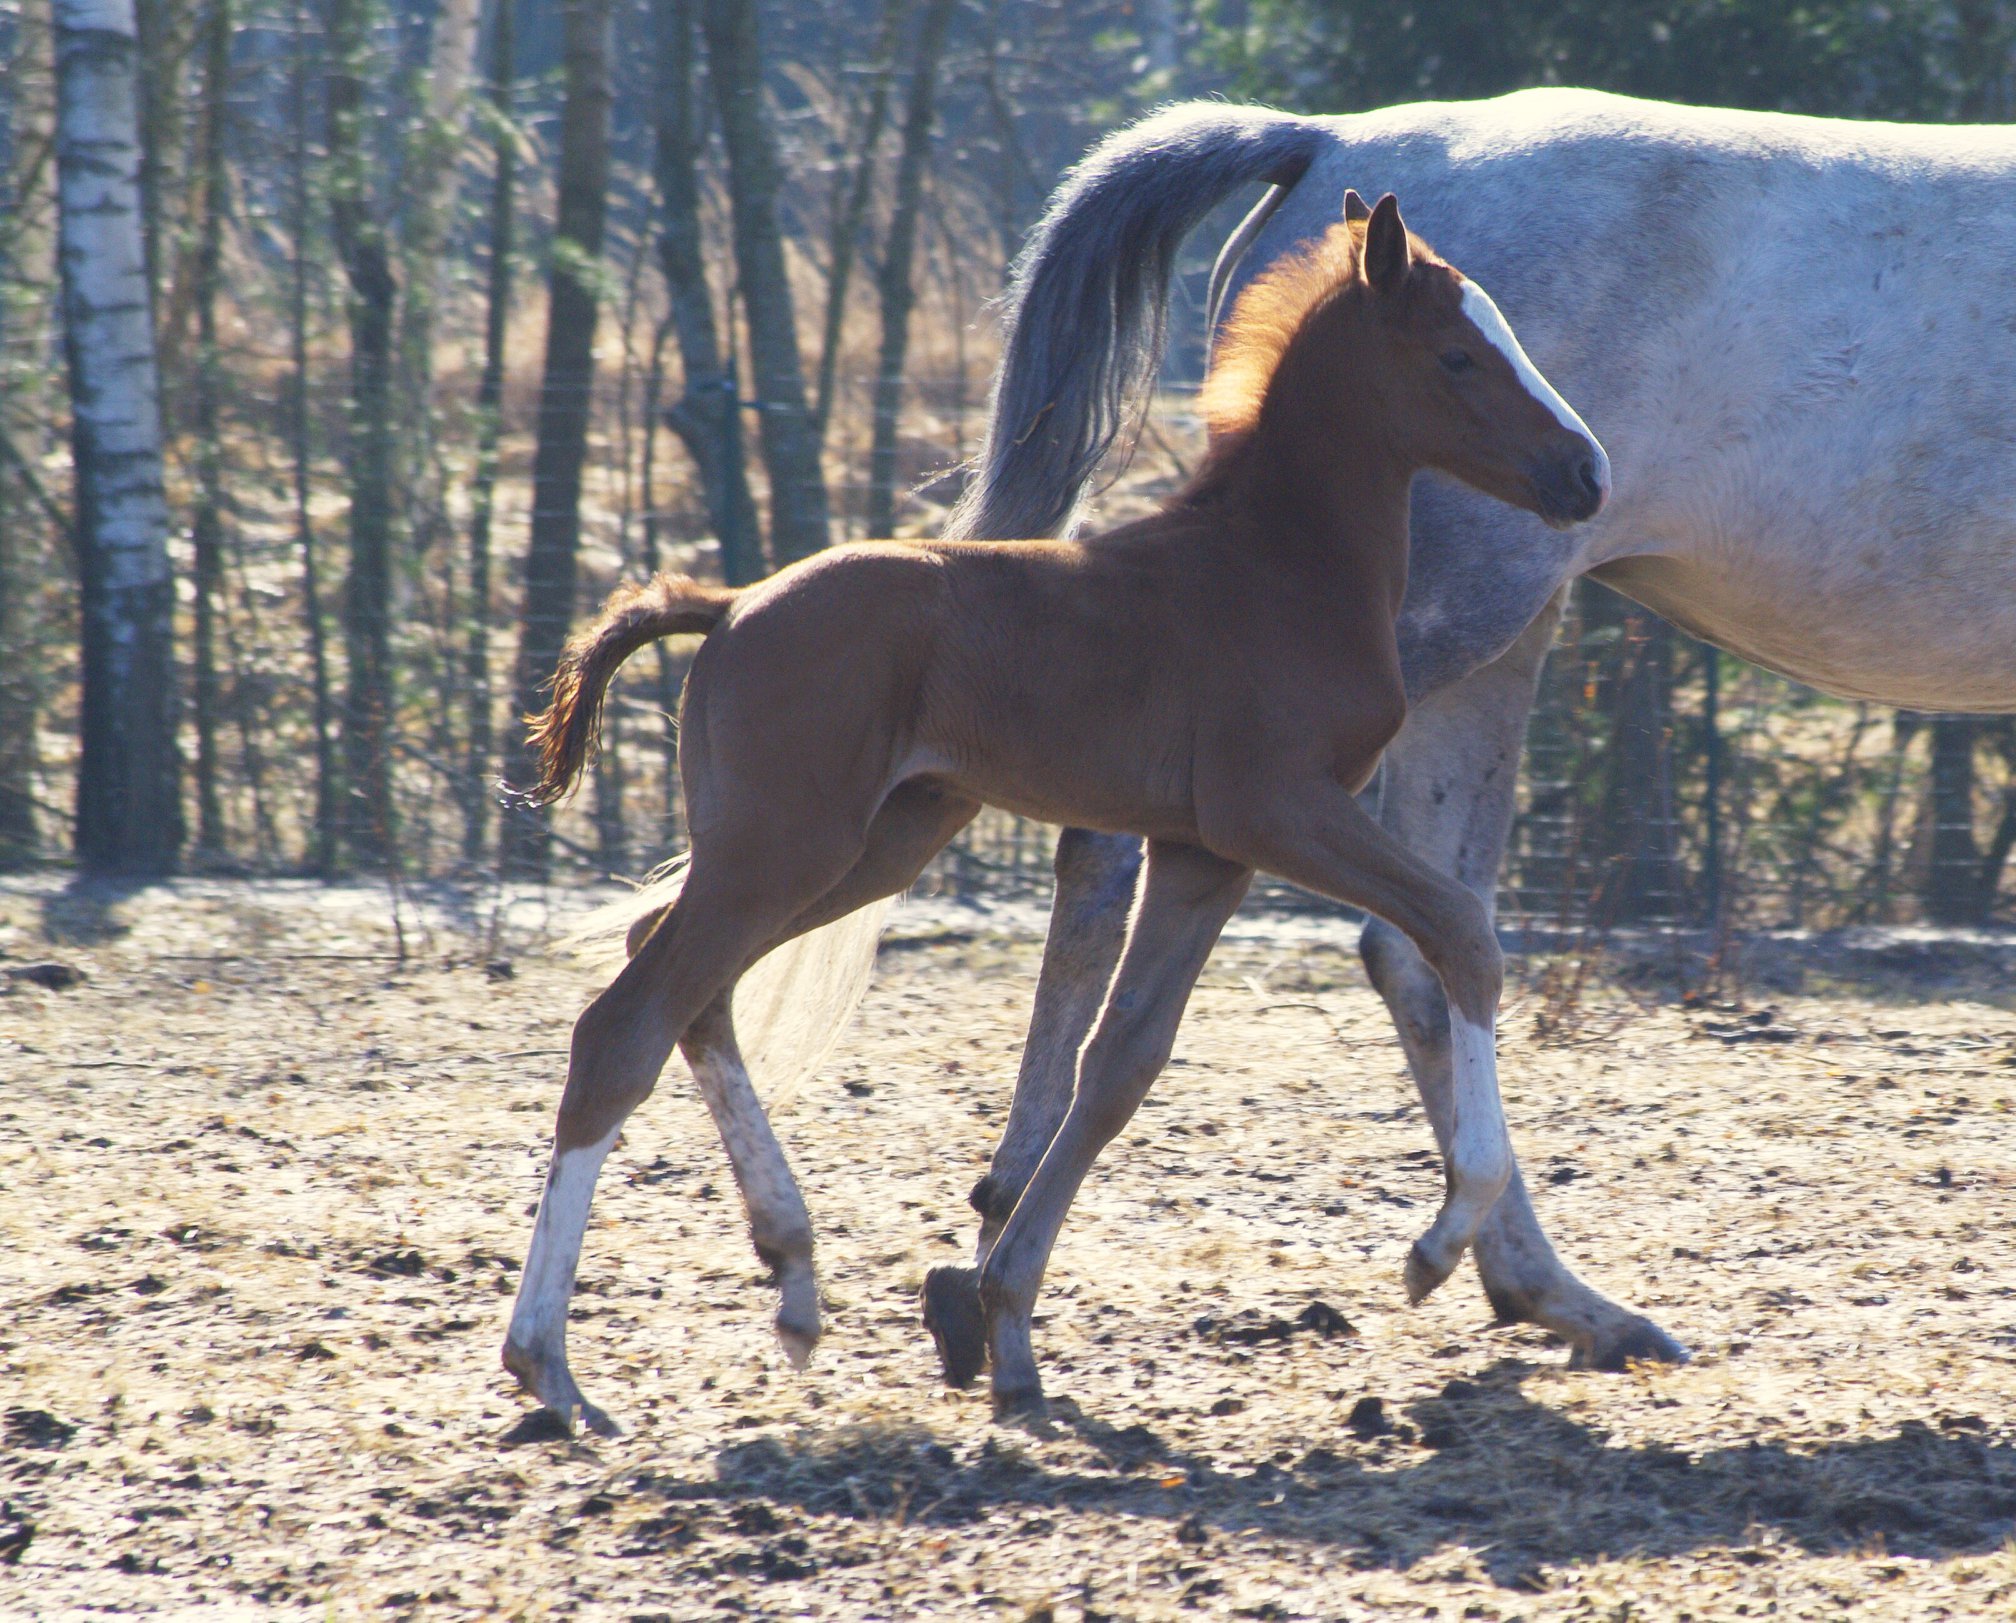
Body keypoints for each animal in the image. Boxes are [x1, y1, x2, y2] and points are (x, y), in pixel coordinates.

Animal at [501, 194, 1611, 1434]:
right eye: (1459, 355)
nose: (1586, 472)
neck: (1279, 567)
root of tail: (732, 603)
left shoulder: (1201, 850)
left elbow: (1120, 1063)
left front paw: (1011, 1330)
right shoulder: (1278, 809)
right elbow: (1460, 934)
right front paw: (1438, 1241)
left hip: (876, 841)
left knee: (684, 980)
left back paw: (791, 1278)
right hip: (787, 847)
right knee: (625, 1026)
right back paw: (551, 1363)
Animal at [913, 88, 2016, 1382]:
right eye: (1456, 353)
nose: (1585, 467)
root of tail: (1323, 140)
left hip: (1493, 647)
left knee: (1421, 941)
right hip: (1436, 635)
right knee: (1143, 861)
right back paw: (1003, 1254)